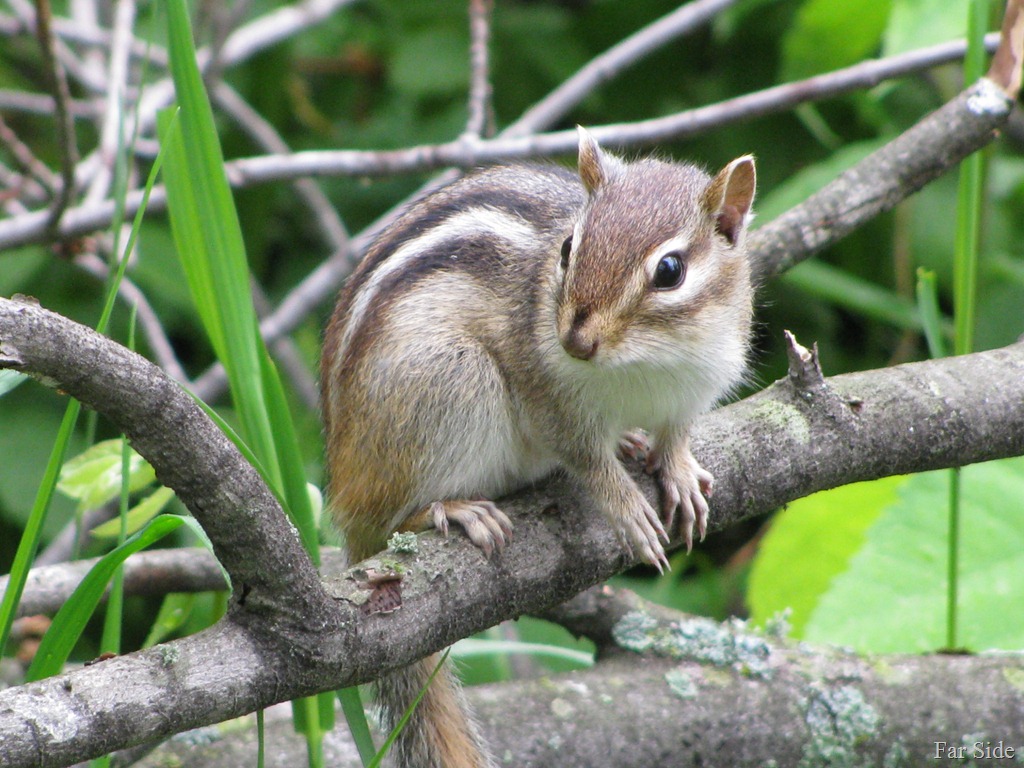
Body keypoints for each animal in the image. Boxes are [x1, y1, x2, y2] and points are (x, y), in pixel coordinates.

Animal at [321, 128, 756, 768]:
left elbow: (676, 433)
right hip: (452, 383)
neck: (651, 360)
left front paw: (676, 470)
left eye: (670, 271)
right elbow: (586, 461)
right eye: (569, 246)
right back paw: (453, 509)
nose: (575, 340)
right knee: (392, 517)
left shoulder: (698, 383)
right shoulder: (545, 393)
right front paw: (627, 508)